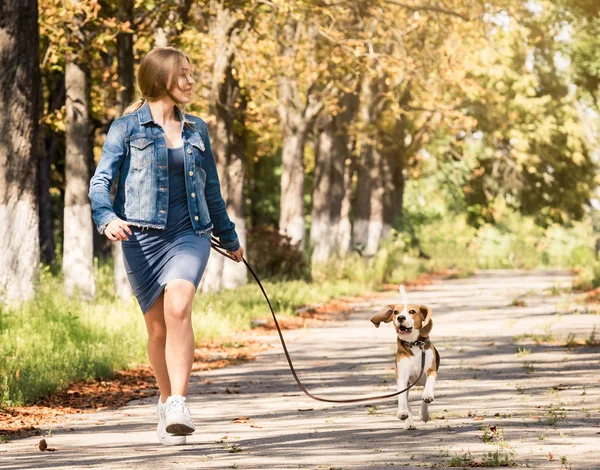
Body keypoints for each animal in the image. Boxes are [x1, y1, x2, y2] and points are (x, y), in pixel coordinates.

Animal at [370, 284, 440, 428]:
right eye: (396, 312)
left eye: (412, 311)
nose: (400, 318)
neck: (414, 344)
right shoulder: (402, 378)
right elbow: (402, 399)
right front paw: (402, 412)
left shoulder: (431, 371)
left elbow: (428, 388)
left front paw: (426, 401)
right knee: (407, 403)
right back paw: (409, 423)